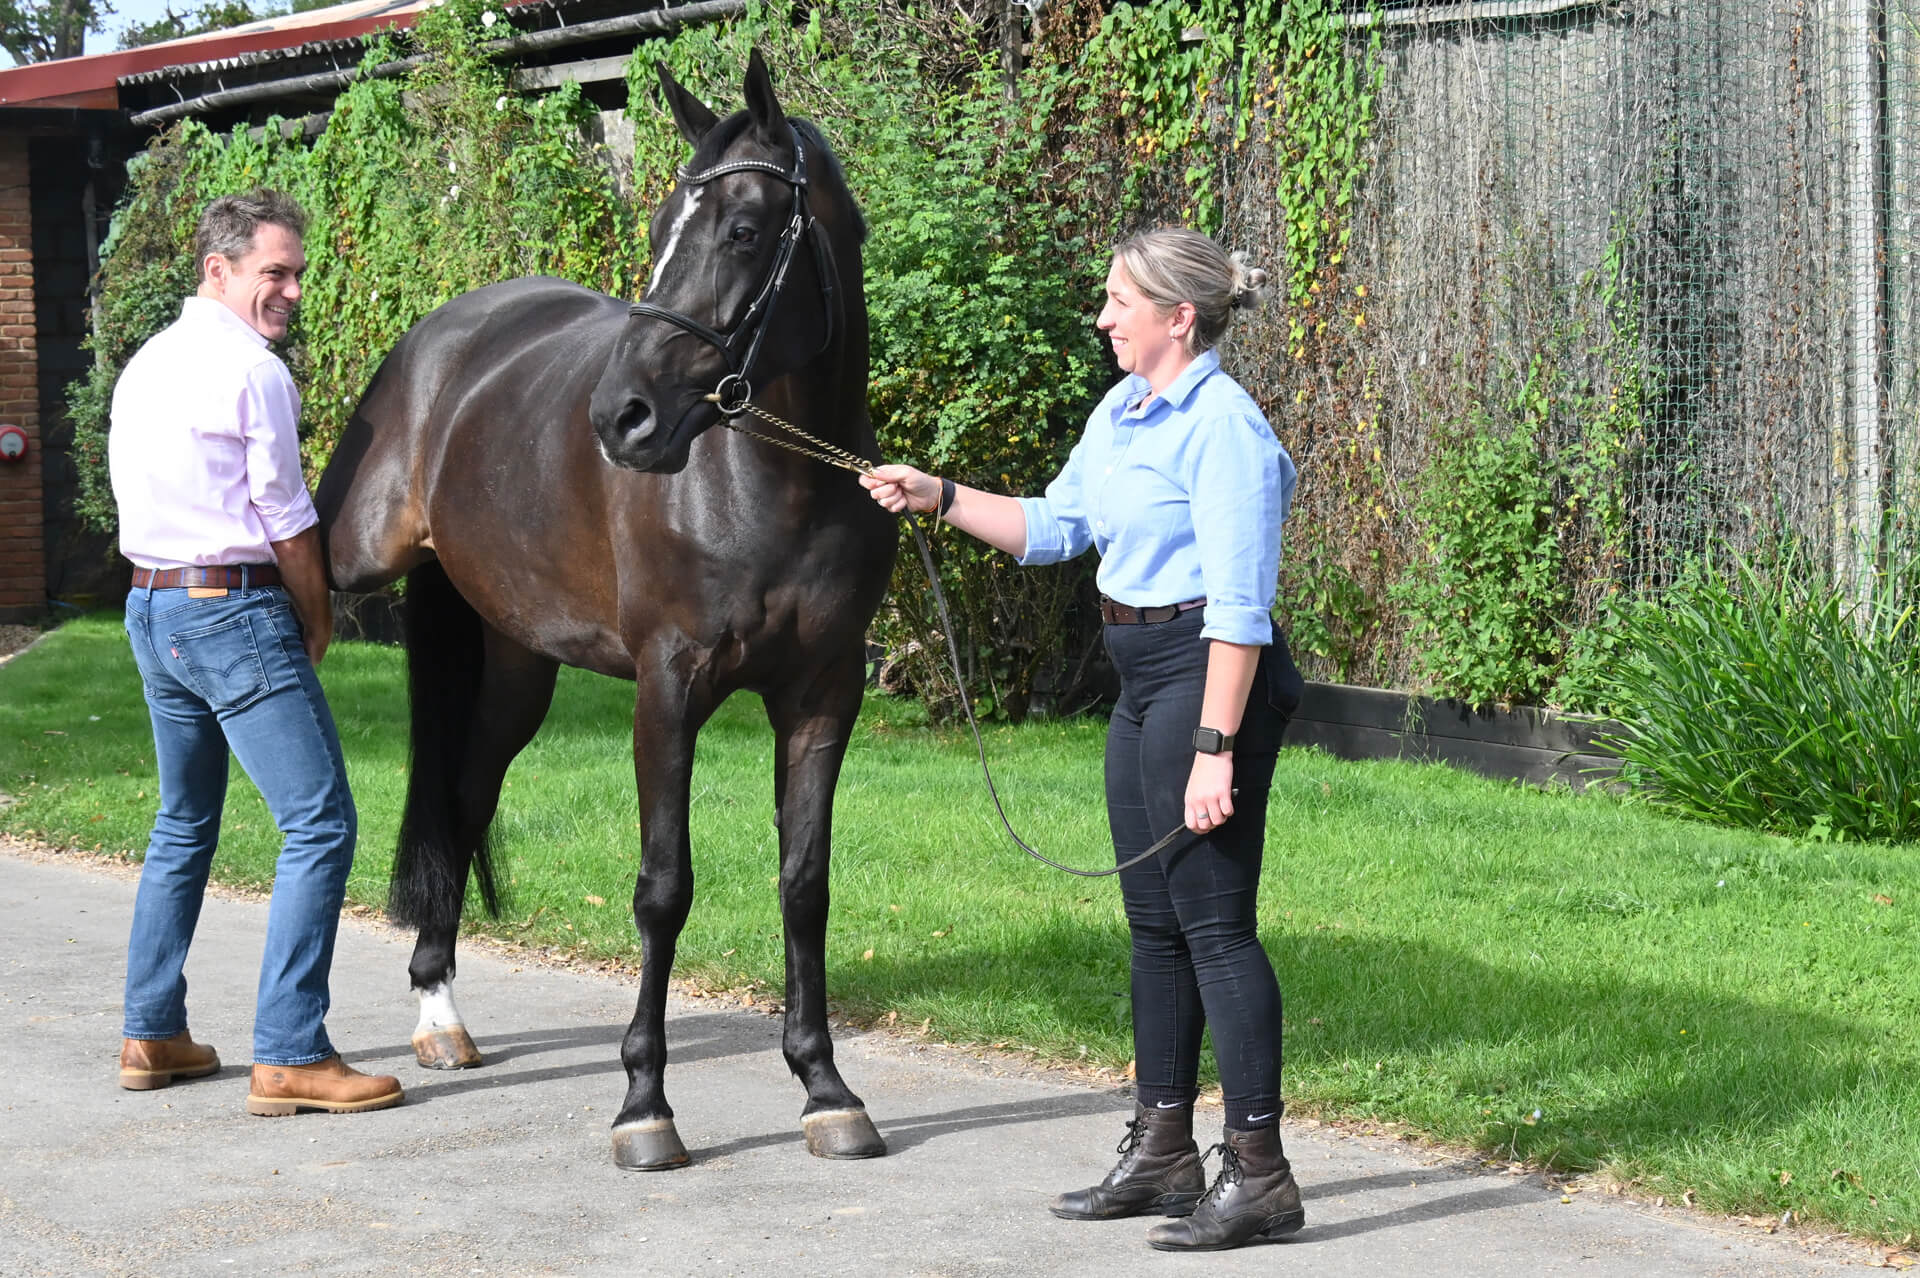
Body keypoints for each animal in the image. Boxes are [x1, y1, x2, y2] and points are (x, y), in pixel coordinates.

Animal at [313, 52, 896, 1170]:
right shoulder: (667, 691)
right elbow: (663, 889)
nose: (619, 420)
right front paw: (644, 1105)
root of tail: (439, 340)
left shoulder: (822, 696)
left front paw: (826, 1087)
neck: (773, 487)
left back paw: (441, 1015)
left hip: (514, 669)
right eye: (664, 219)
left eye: (743, 230)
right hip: (342, 564)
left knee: (463, 796)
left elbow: (805, 883)